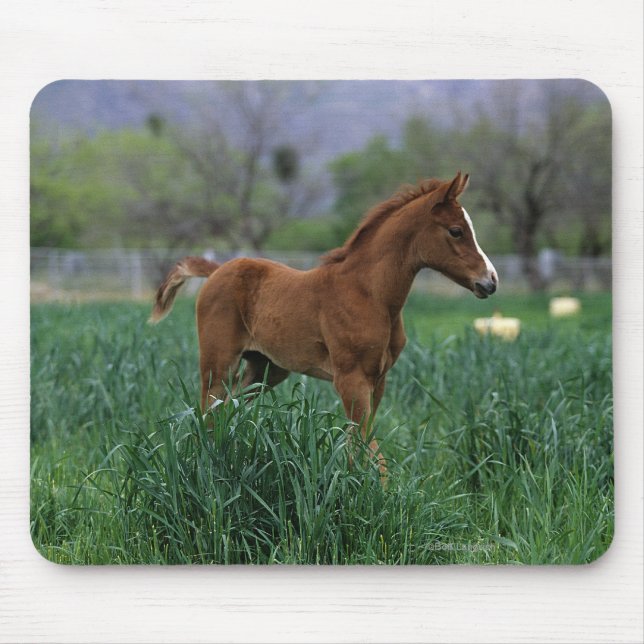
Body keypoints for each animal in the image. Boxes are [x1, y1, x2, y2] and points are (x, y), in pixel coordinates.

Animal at [149, 171, 498, 473]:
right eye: (456, 231)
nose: (490, 281)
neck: (369, 294)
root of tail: (216, 271)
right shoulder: (350, 378)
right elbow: (366, 444)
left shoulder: (378, 379)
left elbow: (362, 442)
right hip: (217, 363)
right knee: (207, 412)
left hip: (265, 369)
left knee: (227, 409)